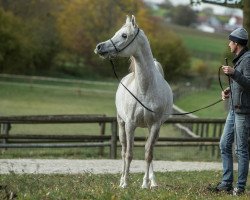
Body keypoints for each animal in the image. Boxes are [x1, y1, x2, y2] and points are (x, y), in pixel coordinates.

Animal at [94, 16, 173, 189]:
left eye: (124, 35)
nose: (99, 47)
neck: (145, 89)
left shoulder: (155, 125)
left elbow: (148, 154)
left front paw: (145, 184)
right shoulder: (130, 125)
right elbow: (129, 154)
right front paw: (125, 183)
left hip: (151, 128)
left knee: (149, 150)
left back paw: (152, 181)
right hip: (121, 124)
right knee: (124, 151)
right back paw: (122, 179)